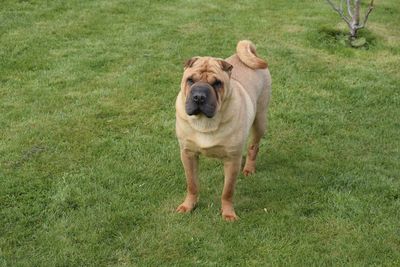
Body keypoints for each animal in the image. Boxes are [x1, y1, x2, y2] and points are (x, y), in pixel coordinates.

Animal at [176, 39, 272, 220]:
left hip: (260, 120)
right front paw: (188, 205)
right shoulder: (188, 154)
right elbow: (192, 184)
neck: (205, 122)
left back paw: (249, 168)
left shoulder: (232, 160)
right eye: (190, 80)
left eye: (217, 83)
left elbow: (227, 191)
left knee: (253, 146)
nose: (199, 96)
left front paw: (228, 214)